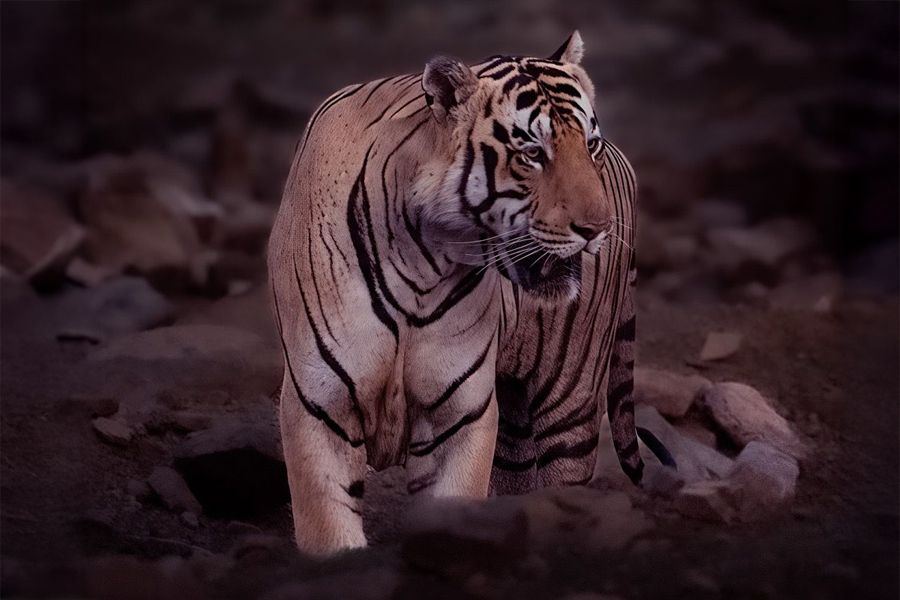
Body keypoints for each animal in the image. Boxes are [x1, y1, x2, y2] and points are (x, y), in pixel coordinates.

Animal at [268, 31, 663, 556]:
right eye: (532, 153)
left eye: (589, 146)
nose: (599, 229)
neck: (420, 261)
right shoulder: (319, 407)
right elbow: (328, 532)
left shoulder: (460, 413)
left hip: (570, 398)